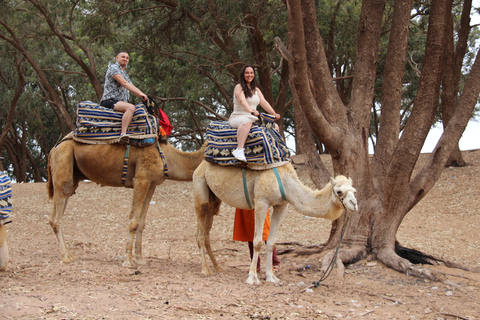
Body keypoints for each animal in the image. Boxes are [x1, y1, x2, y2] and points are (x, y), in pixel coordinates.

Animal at [44, 140, 202, 268]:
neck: (167, 157)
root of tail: (53, 148)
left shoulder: (151, 185)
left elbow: (142, 223)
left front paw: (140, 260)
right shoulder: (141, 180)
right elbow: (133, 222)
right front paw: (128, 262)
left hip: (73, 176)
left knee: (55, 214)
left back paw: (70, 254)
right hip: (63, 162)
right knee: (57, 215)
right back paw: (66, 257)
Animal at [193, 161, 358, 284]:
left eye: (354, 191)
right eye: (339, 191)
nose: (354, 204)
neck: (286, 183)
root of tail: (200, 165)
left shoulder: (282, 205)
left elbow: (271, 243)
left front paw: (271, 277)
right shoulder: (261, 202)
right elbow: (258, 242)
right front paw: (252, 278)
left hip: (215, 200)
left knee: (206, 233)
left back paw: (217, 267)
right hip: (200, 186)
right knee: (200, 230)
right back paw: (205, 269)